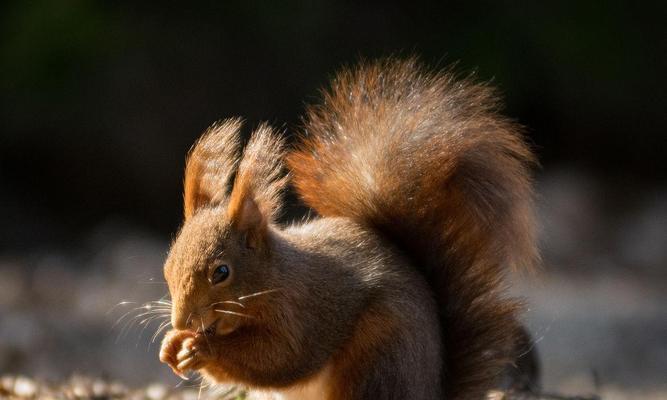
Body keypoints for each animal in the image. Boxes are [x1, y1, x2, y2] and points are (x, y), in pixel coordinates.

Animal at [159, 59, 540, 400]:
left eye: (221, 272)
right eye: (167, 267)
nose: (181, 323)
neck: (273, 278)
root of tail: (430, 391)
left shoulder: (302, 312)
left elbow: (280, 359)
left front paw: (201, 349)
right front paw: (171, 345)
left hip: (379, 357)